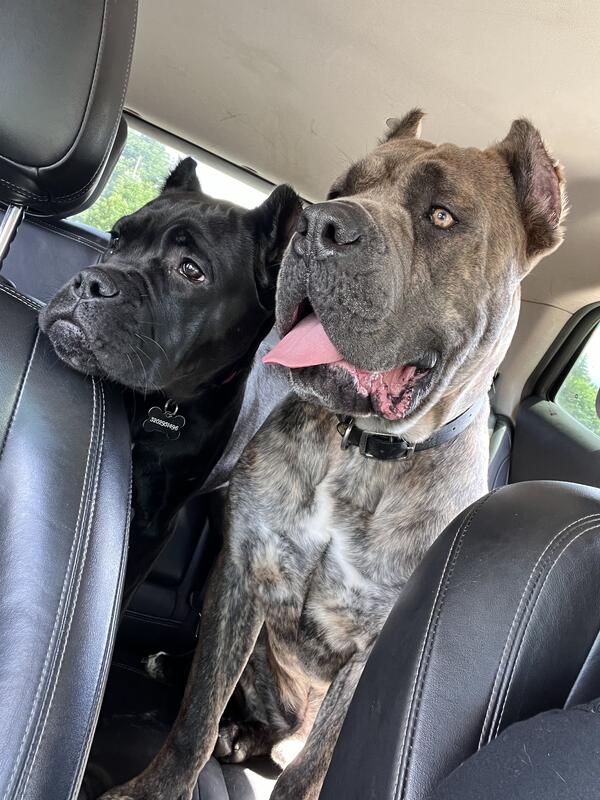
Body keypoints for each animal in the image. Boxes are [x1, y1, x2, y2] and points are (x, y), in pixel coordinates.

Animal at [100, 112, 566, 800]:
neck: (362, 453)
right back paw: (236, 730)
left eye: (443, 215)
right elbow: (196, 716)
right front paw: (155, 788)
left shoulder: (371, 653)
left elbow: (308, 772)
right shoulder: (242, 575)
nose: (320, 225)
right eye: (340, 189)